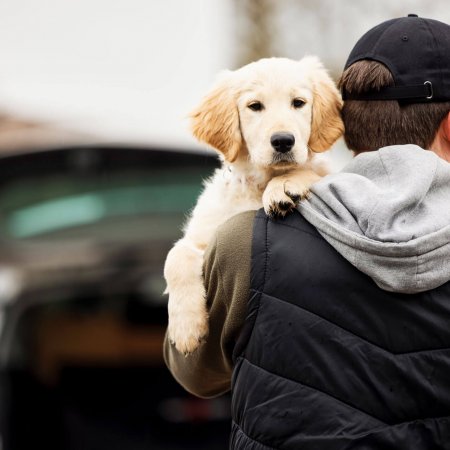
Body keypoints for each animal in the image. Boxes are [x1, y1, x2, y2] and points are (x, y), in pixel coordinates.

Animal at [163, 54, 342, 354]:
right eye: (255, 106)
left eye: (298, 103)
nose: (283, 141)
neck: (258, 184)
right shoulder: (204, 235)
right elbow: (175, 257)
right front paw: (186, 328)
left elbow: (314, 172)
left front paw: (284, 186)